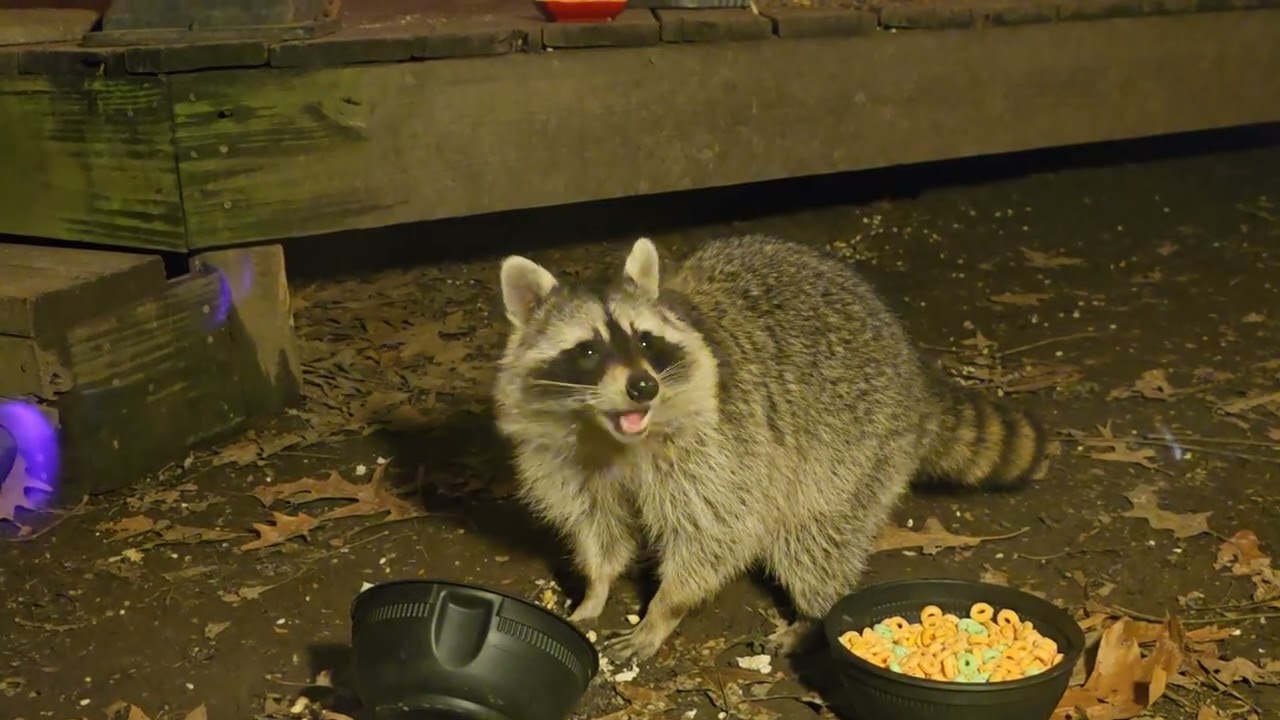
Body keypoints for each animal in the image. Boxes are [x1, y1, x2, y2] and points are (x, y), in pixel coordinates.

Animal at [492, 235, 1049, 663]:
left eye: (645, 342)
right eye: (588, 350)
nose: (643, 387)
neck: (612, 435)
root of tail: (912, 372)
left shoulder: (724, 446)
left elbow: (718, 532)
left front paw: (663, 609)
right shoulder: (565, 461)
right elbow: (596, 525)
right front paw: (596, 586)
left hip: (856, 440)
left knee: (813, 532)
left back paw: (815, 614)